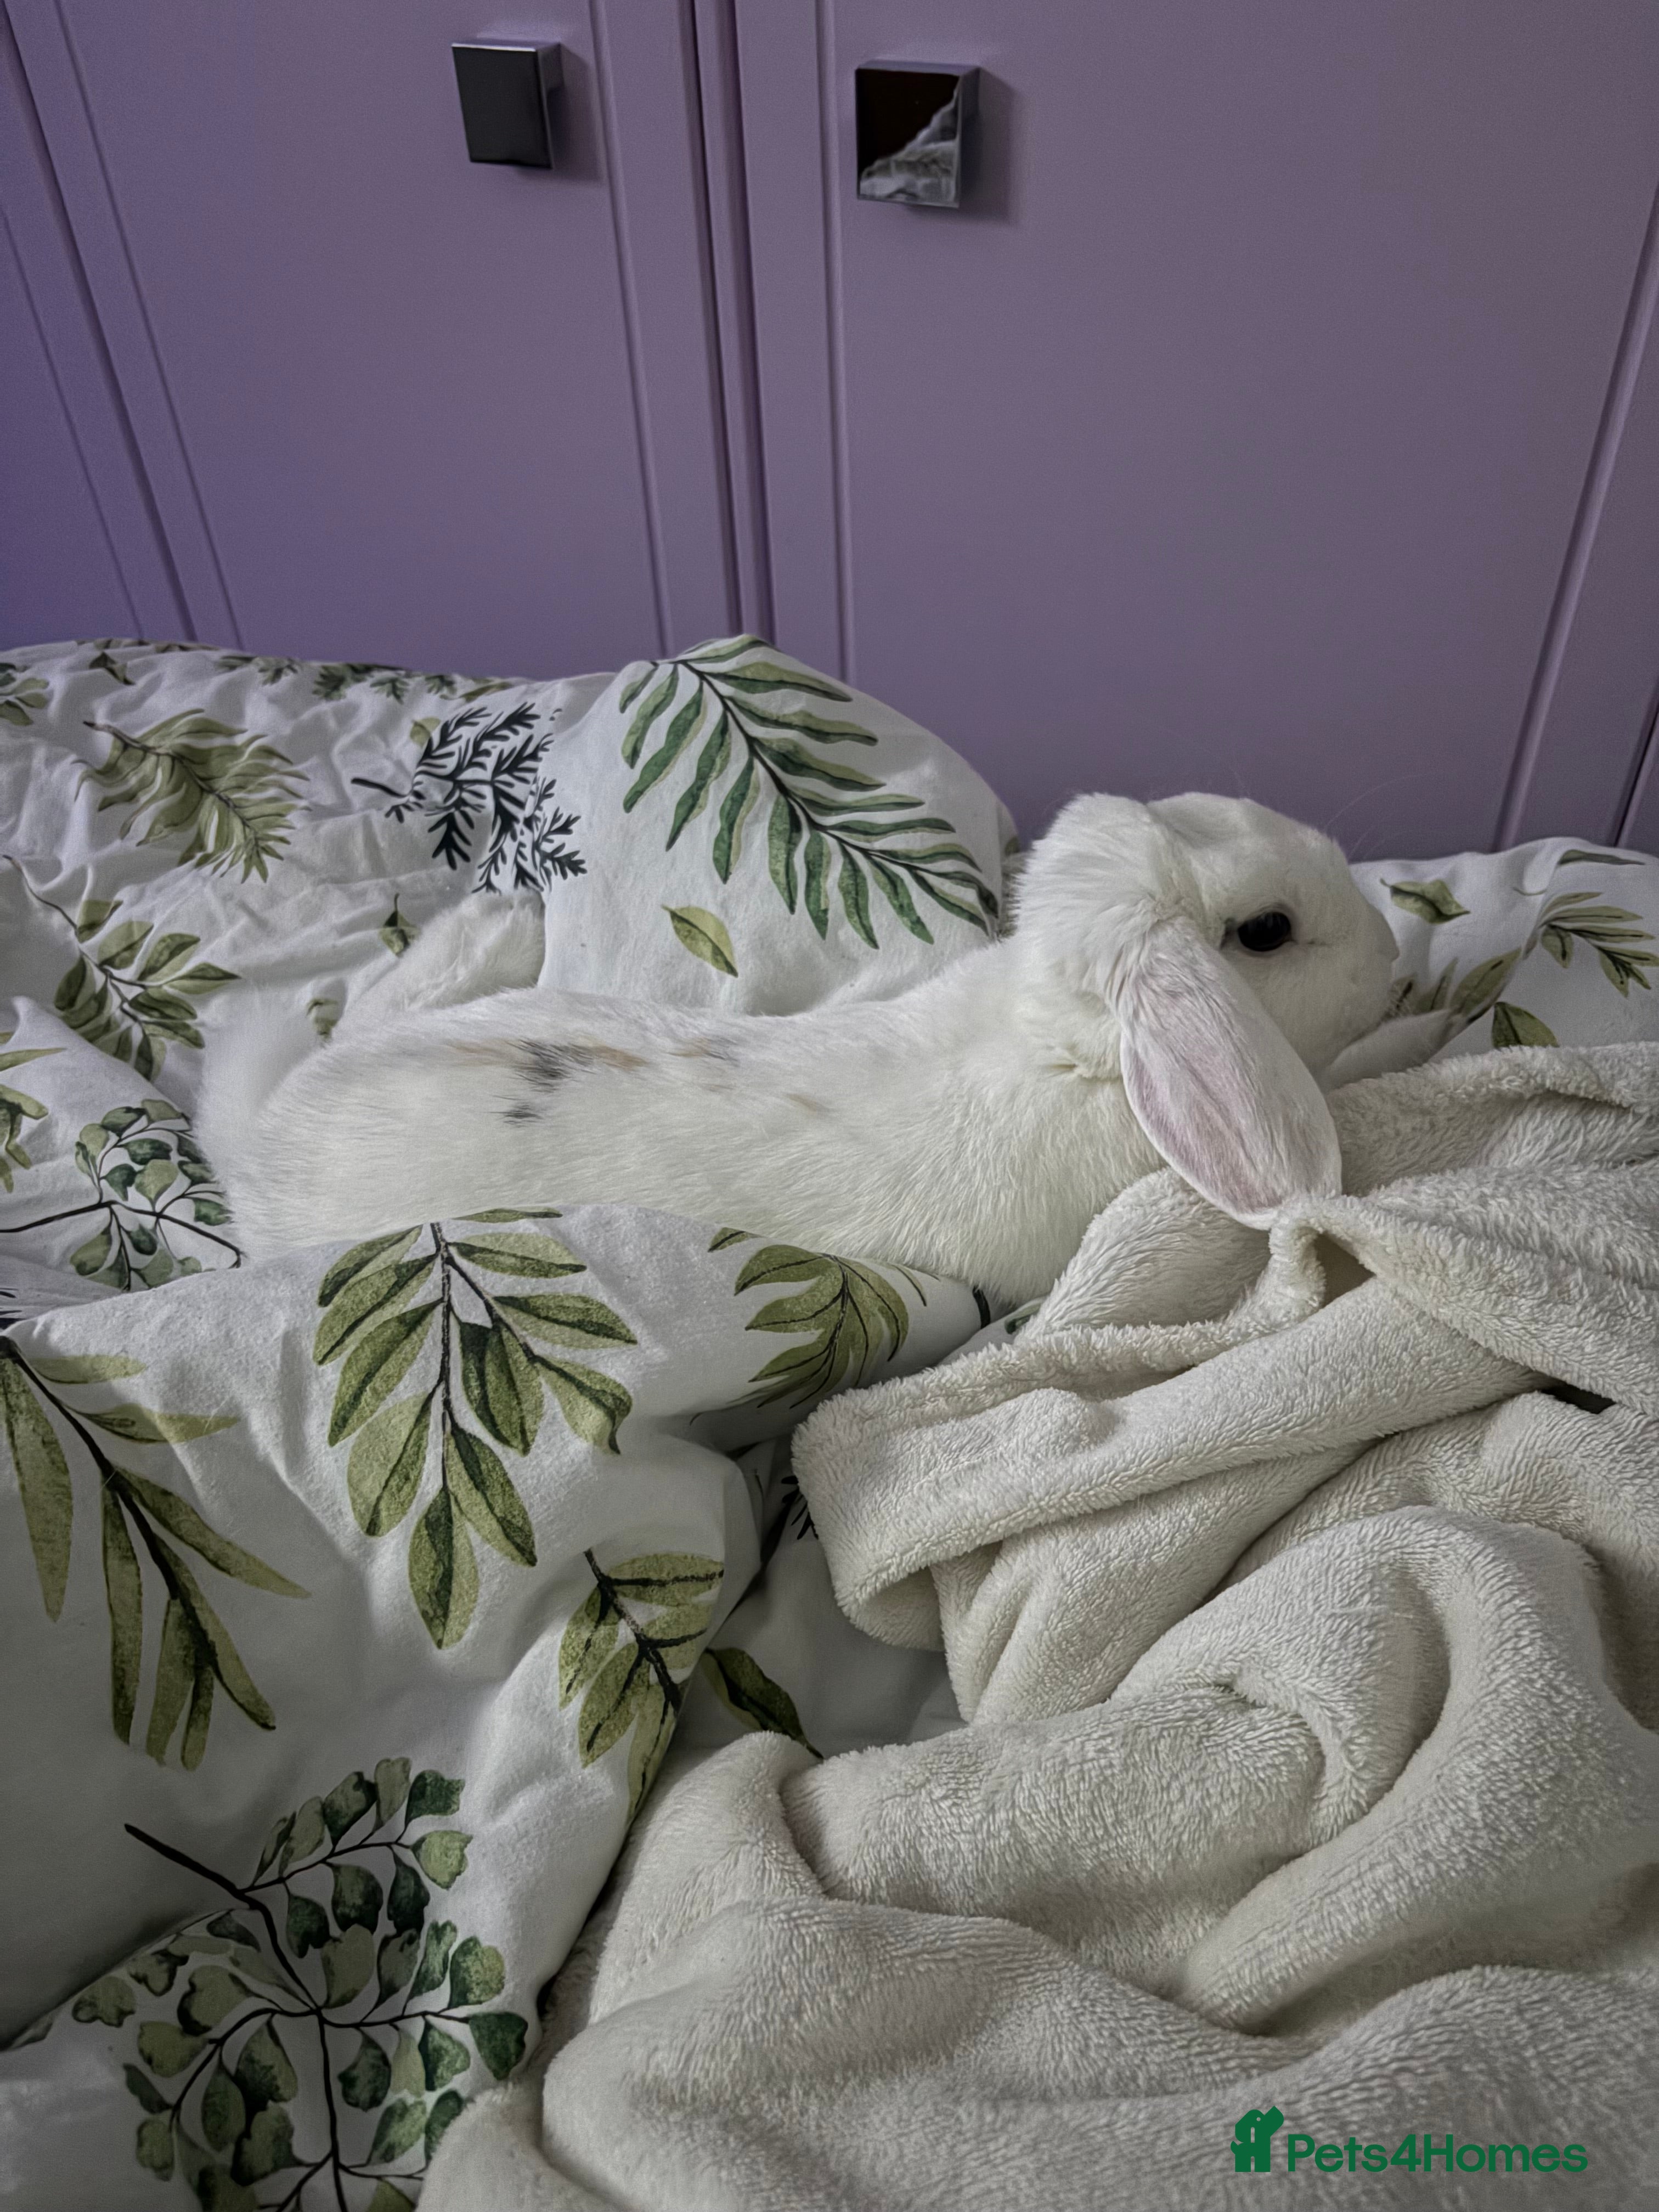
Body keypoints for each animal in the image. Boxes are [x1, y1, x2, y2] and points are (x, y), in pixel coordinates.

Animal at [198, 792, 1447, 1307]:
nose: (1395, 955)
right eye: (1265, 932)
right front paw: (1427, 1022)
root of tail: (262, 1151)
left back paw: (497, 921)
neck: (1059, 1046)